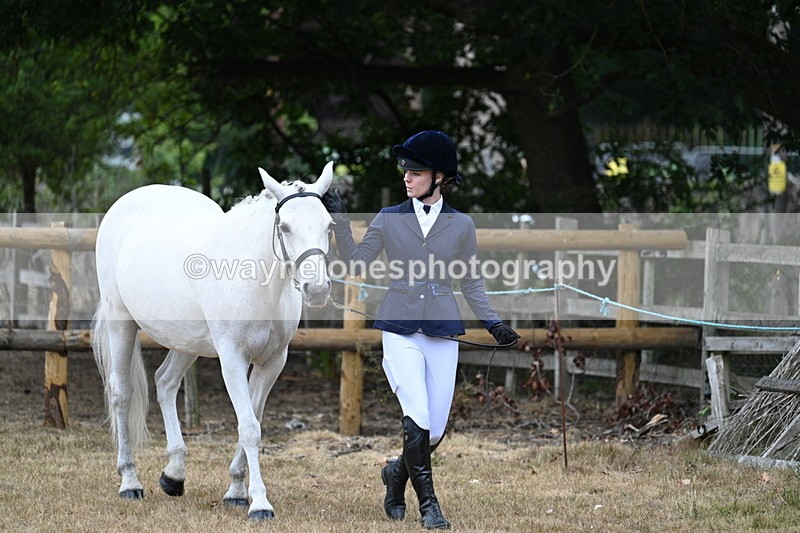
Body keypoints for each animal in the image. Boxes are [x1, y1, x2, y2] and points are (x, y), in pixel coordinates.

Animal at [92, 162, 334, 520]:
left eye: (329, 226)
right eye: (285, 227)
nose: (316, 289)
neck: (253, 279)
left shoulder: (273, 362)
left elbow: (254, 420)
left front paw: (236, 491)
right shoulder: (232, 358)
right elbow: (249, 428)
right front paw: (260, 504)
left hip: (186, 341)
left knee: (165, 382)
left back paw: (174, 476)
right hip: (121, 323)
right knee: (121, 393)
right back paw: (130, 483)